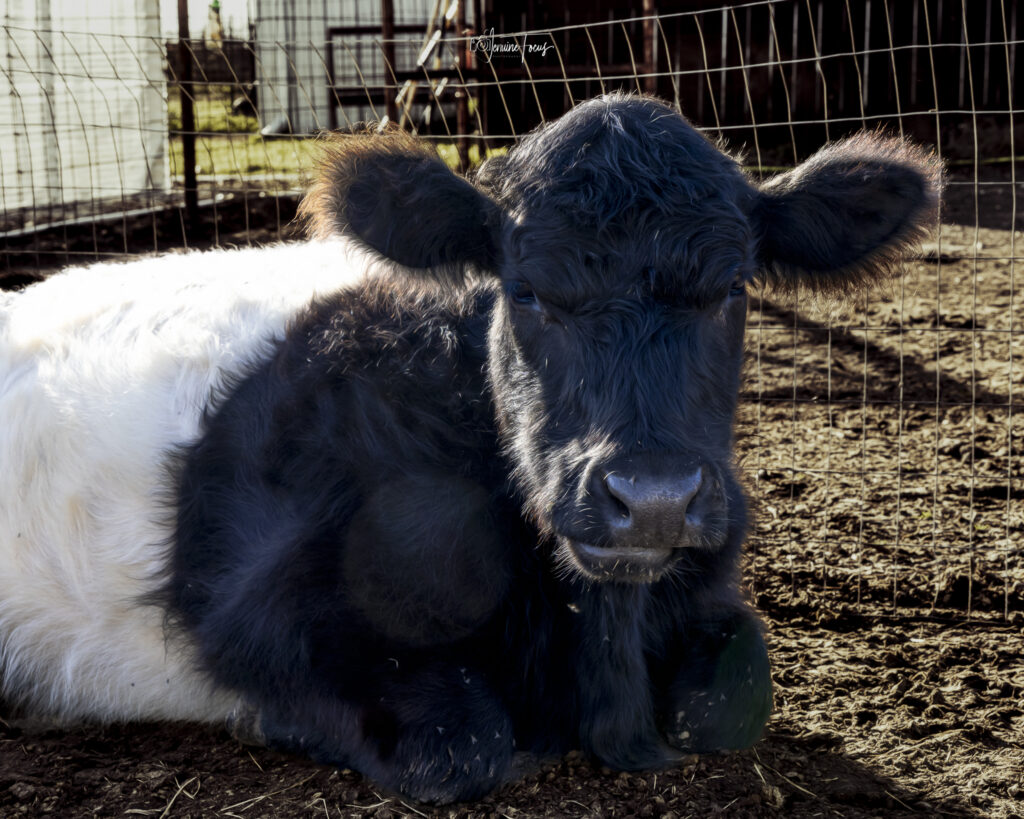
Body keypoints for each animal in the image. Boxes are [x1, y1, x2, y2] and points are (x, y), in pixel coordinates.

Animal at [0, 94, 939, 803]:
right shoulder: (255, 609)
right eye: (525, 291)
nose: (653, 498)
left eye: (734, 289)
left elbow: (731, 698)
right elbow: (464, 741)